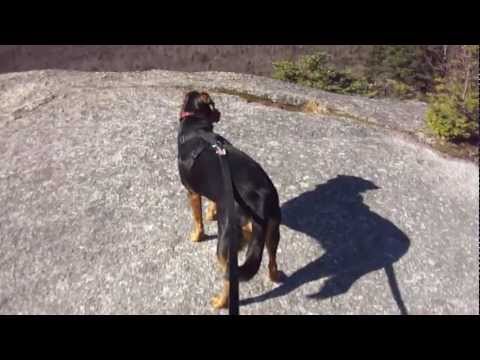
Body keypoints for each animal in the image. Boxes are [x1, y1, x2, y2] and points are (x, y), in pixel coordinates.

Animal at [176, 90, 282, 310]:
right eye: (214, 106)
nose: (220, 112)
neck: (195, 126)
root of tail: (258, 202)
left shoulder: (192, 192)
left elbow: (197, 219)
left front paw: (197, 235)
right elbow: (212, 203)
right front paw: (211, 212)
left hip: (225, 244)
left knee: (230, 279)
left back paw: (220, 302)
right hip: (273, 230)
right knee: (272, 260)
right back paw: (275, 276)